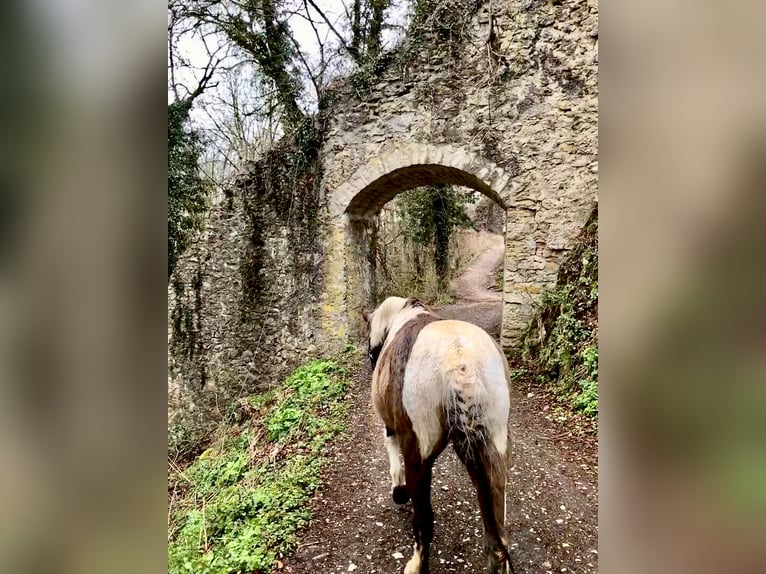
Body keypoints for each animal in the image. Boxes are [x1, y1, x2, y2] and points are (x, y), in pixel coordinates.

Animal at [362, 296, 515, 574]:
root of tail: (459, 359)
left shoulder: (392, 428)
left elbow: (392, 458)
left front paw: (398, 492)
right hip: (495, 450)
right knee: (498, 532)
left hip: (418, 455)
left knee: (423, 520)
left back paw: (416, 564)